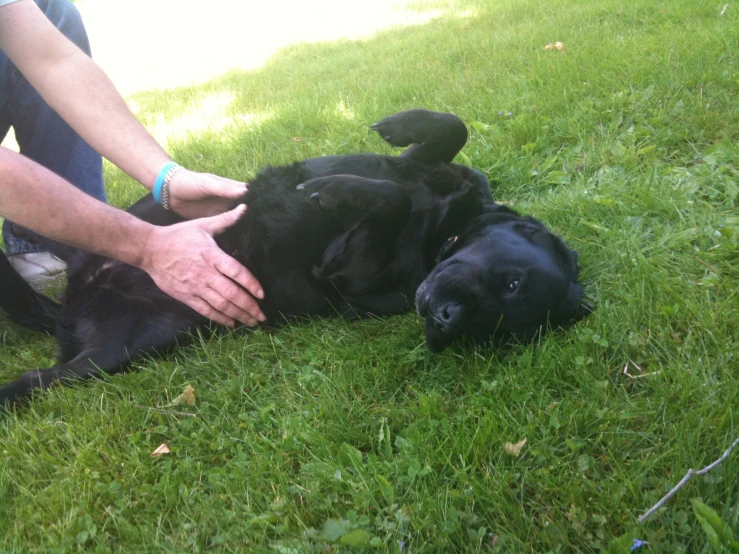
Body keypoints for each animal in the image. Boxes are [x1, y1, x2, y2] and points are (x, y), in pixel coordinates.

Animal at [0, 108, 588, 404]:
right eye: (512, 282)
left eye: (496, 327)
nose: (447, 320)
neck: (444, 229)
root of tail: (74, 302)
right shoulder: (424, 166)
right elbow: (451, 130)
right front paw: (402, 122)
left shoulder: (353, 274)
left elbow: (387, 204)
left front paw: (333, 194)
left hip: (118, 350)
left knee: (35, 381)